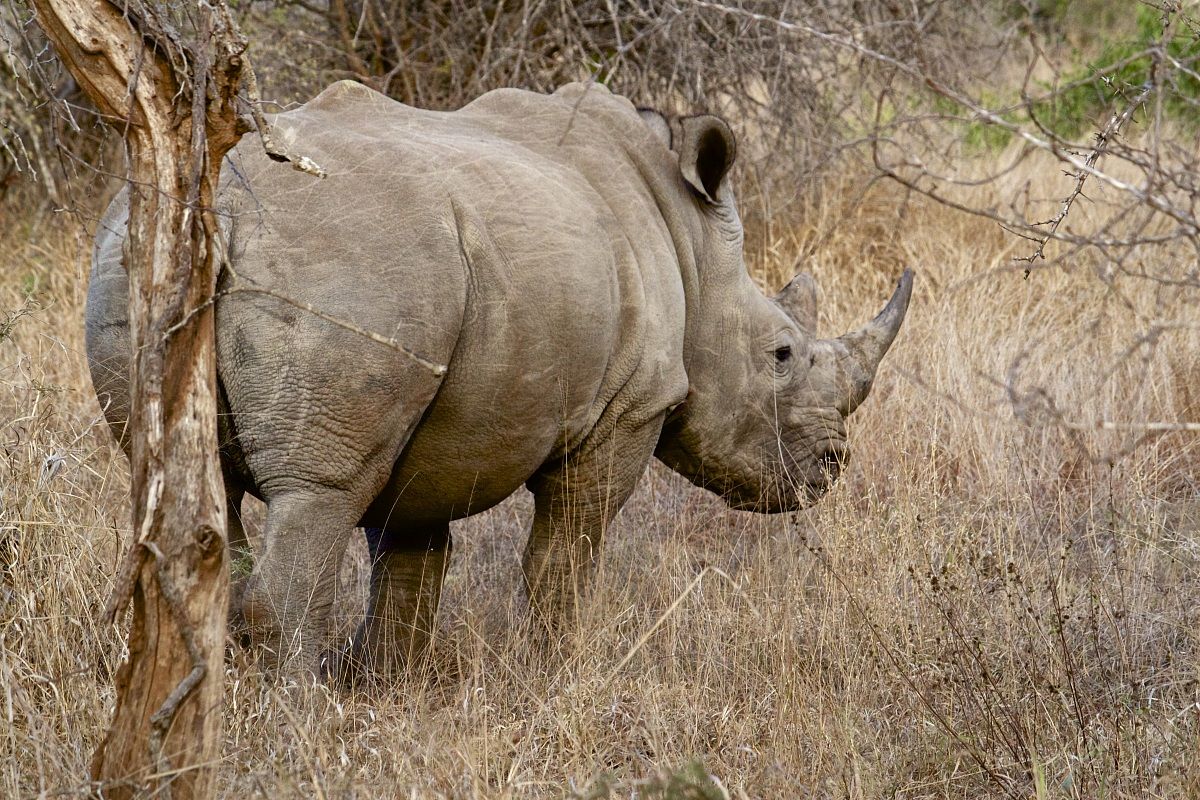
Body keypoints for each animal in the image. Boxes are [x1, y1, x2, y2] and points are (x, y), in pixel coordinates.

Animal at [86, 80, 912, 678]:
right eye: (782, 353)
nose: (832, 466)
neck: (694, 250)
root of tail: (225, 203)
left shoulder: (434, 423)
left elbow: (412, 562)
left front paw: (387, 685)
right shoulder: (626, 410)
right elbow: (564, 558)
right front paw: (562, 674)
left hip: (144, 243)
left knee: (193, 492)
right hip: (350, 262)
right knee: (318, 494)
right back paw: (297, 717)